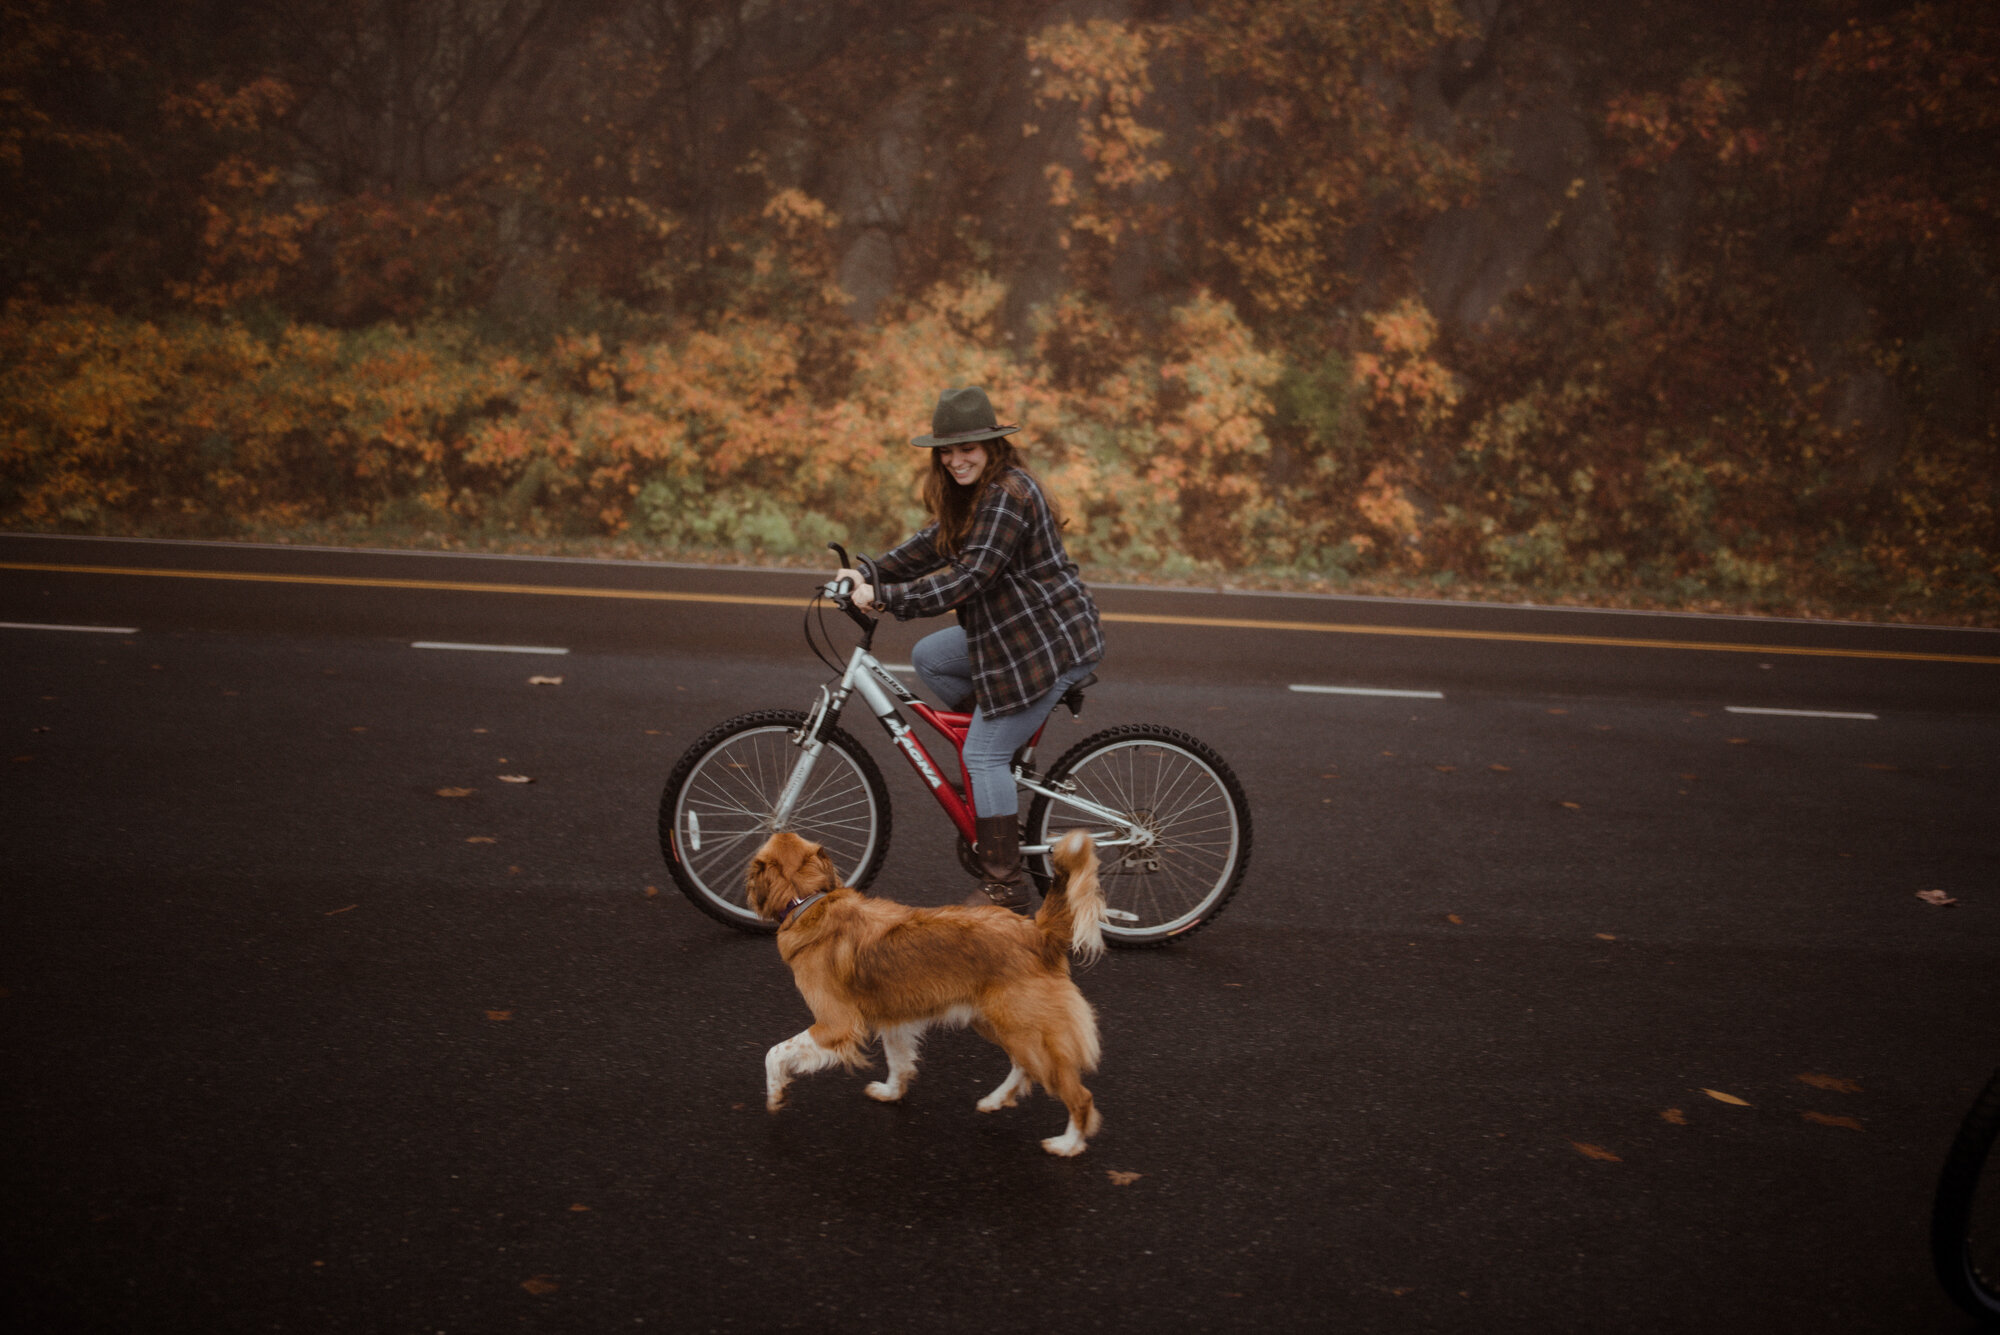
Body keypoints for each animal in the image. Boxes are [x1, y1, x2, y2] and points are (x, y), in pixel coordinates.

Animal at [748, 827, 1112, 1151]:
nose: (776, 825)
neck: (807, 899)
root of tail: (1038, 933)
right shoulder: (893, 1019)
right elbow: (898, 1062)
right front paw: (891, 1093)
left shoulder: (836, 1025)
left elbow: (774, 1052)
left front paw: (775, 1093)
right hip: (1002, 1025)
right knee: (1023, 1067)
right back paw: (996, 1100)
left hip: (1024, 1028)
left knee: (1080, 1096)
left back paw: (1067, 1144)